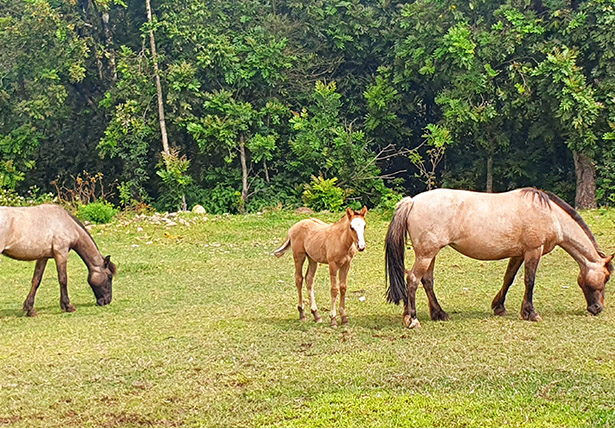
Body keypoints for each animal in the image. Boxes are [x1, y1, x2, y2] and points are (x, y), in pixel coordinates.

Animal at [388, 187, 612, 328]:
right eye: (607, 277)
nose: (598, 308)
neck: (550, 215)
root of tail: (412, 201)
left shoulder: (519, 253)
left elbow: (509, 279)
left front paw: (499, 307)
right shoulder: (533, 251)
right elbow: (529, 281)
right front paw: (531, 313)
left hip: (430, 254)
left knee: (426, 280)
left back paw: (437, 314)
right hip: (426, 254)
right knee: (413, 280)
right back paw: (412, 318)